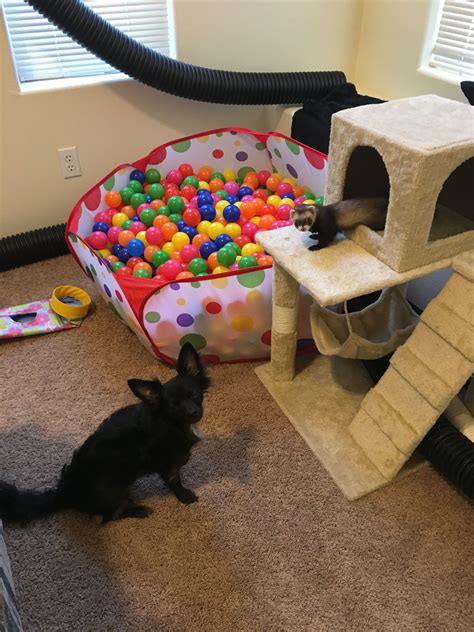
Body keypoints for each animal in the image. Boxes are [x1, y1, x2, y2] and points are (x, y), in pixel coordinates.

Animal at [0, 344, 209, 524]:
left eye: (194, 394)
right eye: (173, 406)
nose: (193, 413)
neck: (172, 422)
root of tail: (62, 495)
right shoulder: (167, 464)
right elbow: (175, 481)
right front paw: (185, 496)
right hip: (113, 493)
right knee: (112, 514)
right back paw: (139, 510)